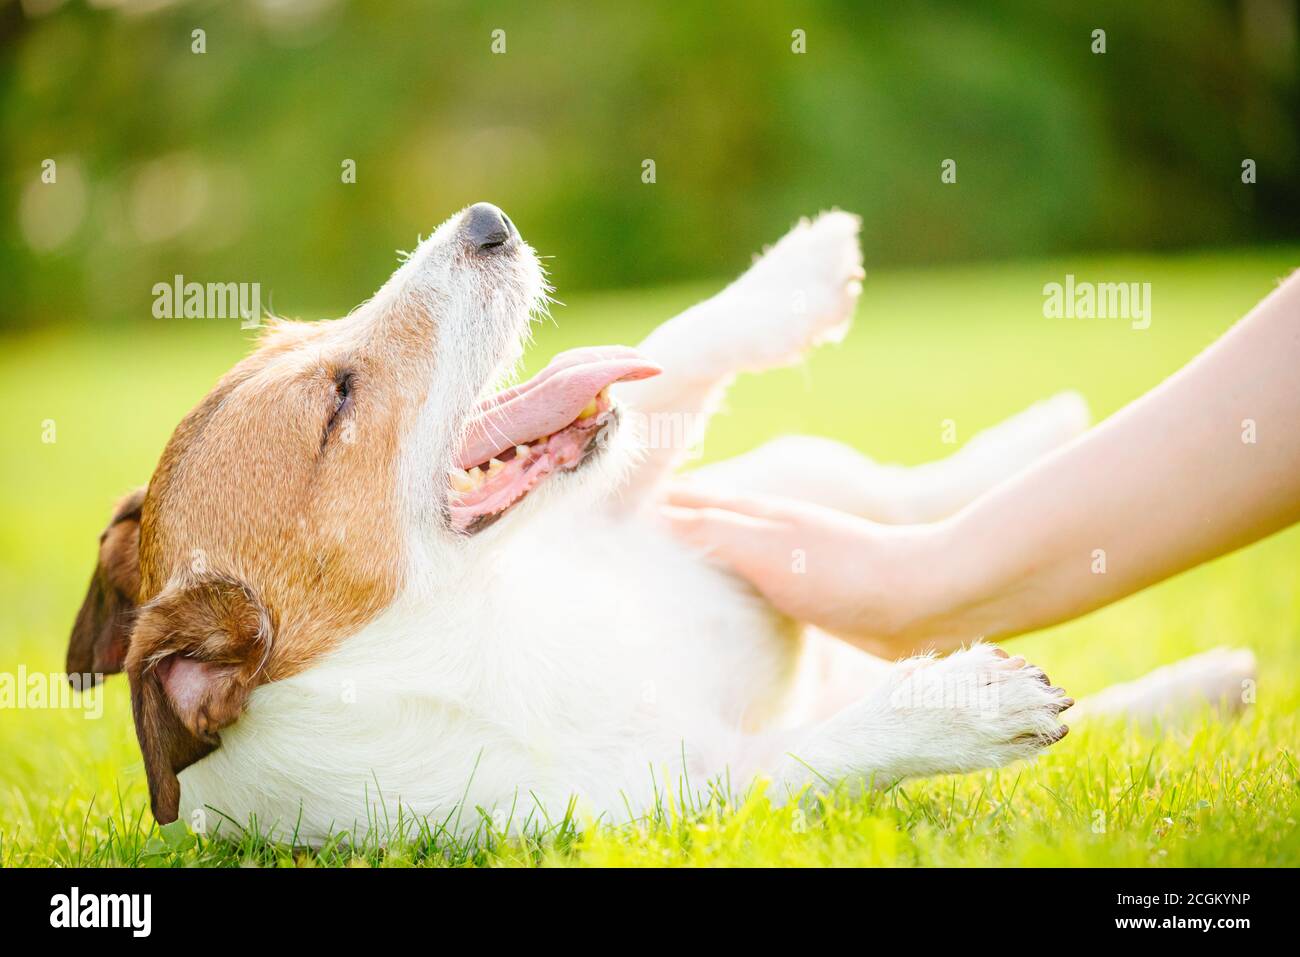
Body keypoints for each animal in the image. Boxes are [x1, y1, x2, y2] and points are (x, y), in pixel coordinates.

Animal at [65, 205, 1253, 842]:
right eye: (340, 397)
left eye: (309, 336)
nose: (489, 224)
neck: (484, 628)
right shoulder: (691, 803)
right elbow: (829, 752)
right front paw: (961, 707)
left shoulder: (625, 502)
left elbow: (679, 344)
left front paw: (798, 276)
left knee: (882, 491)